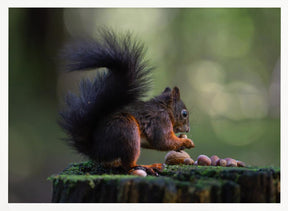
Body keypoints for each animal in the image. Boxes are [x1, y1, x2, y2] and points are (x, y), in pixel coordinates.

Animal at [58, 29, 194, 175]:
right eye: (184, 114)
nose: (188, 129)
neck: (165, 109)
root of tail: (97, 151)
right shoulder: (160, 120)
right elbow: (162, 141)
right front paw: (186, 142)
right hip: (127, 131)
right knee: (128, 165)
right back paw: (148, 167)